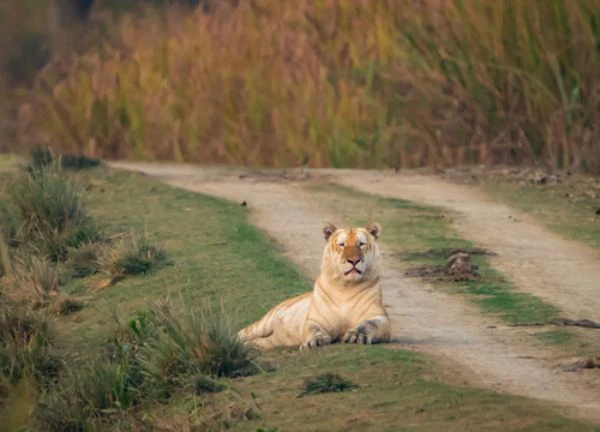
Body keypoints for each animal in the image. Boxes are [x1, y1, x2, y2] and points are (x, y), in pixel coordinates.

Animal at [237, 223, 392, 352]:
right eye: (342, 244)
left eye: (361, 244)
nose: (353, 260)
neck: (346, 287)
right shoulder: (314, 319)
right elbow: (314, 330)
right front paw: (315, 342)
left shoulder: (380, 317)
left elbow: (369, 324)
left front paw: (357, 335)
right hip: (264, 322)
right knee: (243, 332)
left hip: (272, 340)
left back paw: (248, 346)